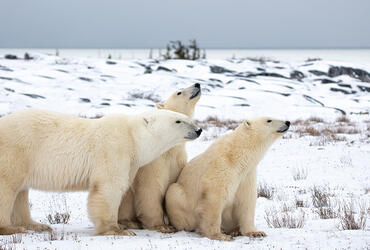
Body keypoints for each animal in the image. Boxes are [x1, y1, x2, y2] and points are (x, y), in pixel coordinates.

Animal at [0, 108, 202, 235]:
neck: (133, 137)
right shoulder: (114, 150)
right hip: (16, 150)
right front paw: (117, 230)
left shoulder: (131, 162)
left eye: (186, 117)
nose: (199, 130)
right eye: (178, 120)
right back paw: (10, 229)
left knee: (20, 192)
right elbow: (109, 188)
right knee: (7, 187)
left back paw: (36, 225)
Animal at [118, 83, 201, 233]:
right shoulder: (154, 162)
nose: (197, 84)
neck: (169, 148)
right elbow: (151, 188)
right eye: (179, 92)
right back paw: (130, 222)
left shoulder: (177, 161)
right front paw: (161, 225)